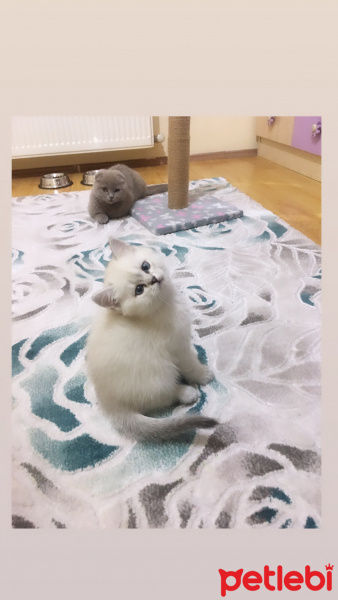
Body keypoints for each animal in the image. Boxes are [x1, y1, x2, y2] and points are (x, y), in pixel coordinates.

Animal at [86, 238, 217, 440]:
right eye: (139, 290)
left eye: (145, 266)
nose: (153, 279)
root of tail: (108, 401)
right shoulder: (177, 347)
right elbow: (190, 365)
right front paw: (202, 374)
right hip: (160, 373)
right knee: (161, 397)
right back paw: (186, 393)